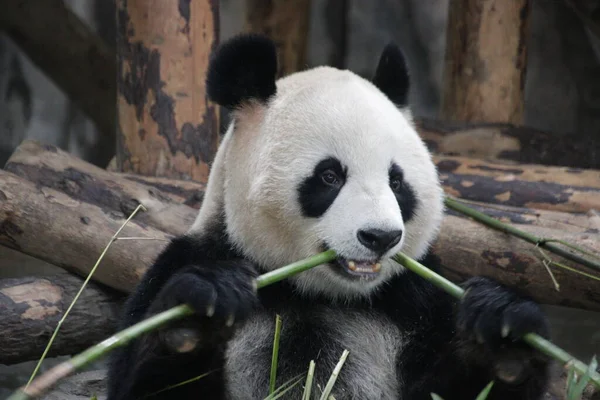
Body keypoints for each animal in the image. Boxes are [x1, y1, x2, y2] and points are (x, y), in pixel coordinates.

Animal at [106, 34, 548, 400]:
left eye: (397, 181)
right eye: (330, 176)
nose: (380, 237)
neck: (317, 294)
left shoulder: (414, 299)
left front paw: (504, 332)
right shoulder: (192, 257)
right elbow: (145, 383)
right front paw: (202, 308)